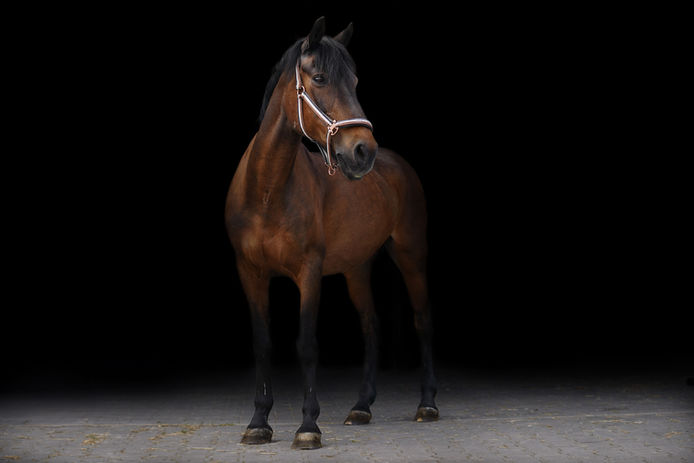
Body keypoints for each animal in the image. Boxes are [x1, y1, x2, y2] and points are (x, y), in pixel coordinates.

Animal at [225, 17, 438, 450]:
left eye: (355, 81)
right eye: (320, 78)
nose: (362, 151)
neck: (267, 191)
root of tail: (395, 164)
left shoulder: (309, 271)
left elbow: (306, 344)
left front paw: (308, 425)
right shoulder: (250, 272)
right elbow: (262, 344)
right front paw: (258, 422)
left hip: (411, 254)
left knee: (422, 319)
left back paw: (427, 404)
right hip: (357, 268)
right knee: (371, 325)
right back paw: (362, 407)